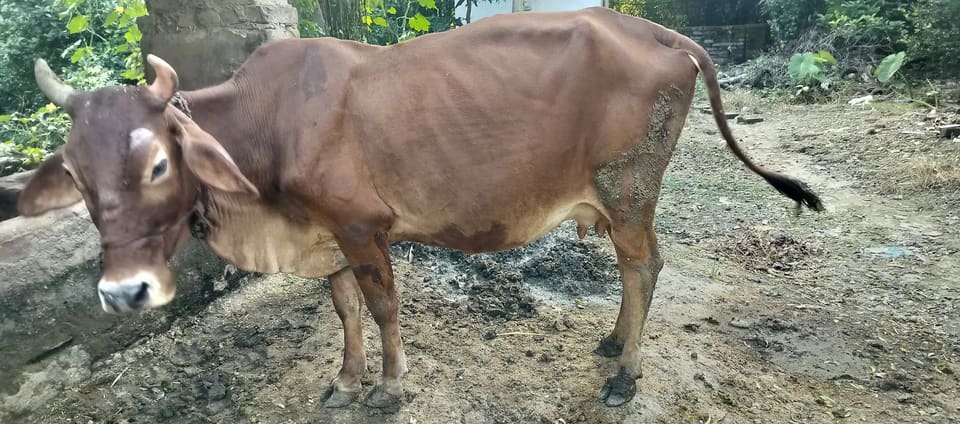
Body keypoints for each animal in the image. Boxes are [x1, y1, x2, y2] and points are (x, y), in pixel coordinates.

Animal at [17, 7, 823, 409]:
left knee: (645, 268)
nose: (124, 293)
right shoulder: (324, 236)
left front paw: (388, 387)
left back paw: (626, 374)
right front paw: (346, 381)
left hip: (629, 190)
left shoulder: (361, 227)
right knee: (637, 273)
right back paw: (612, 345)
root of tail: (662, 31)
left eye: (158, 162)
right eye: (77, 178)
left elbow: (381, 309)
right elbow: (343, 309)